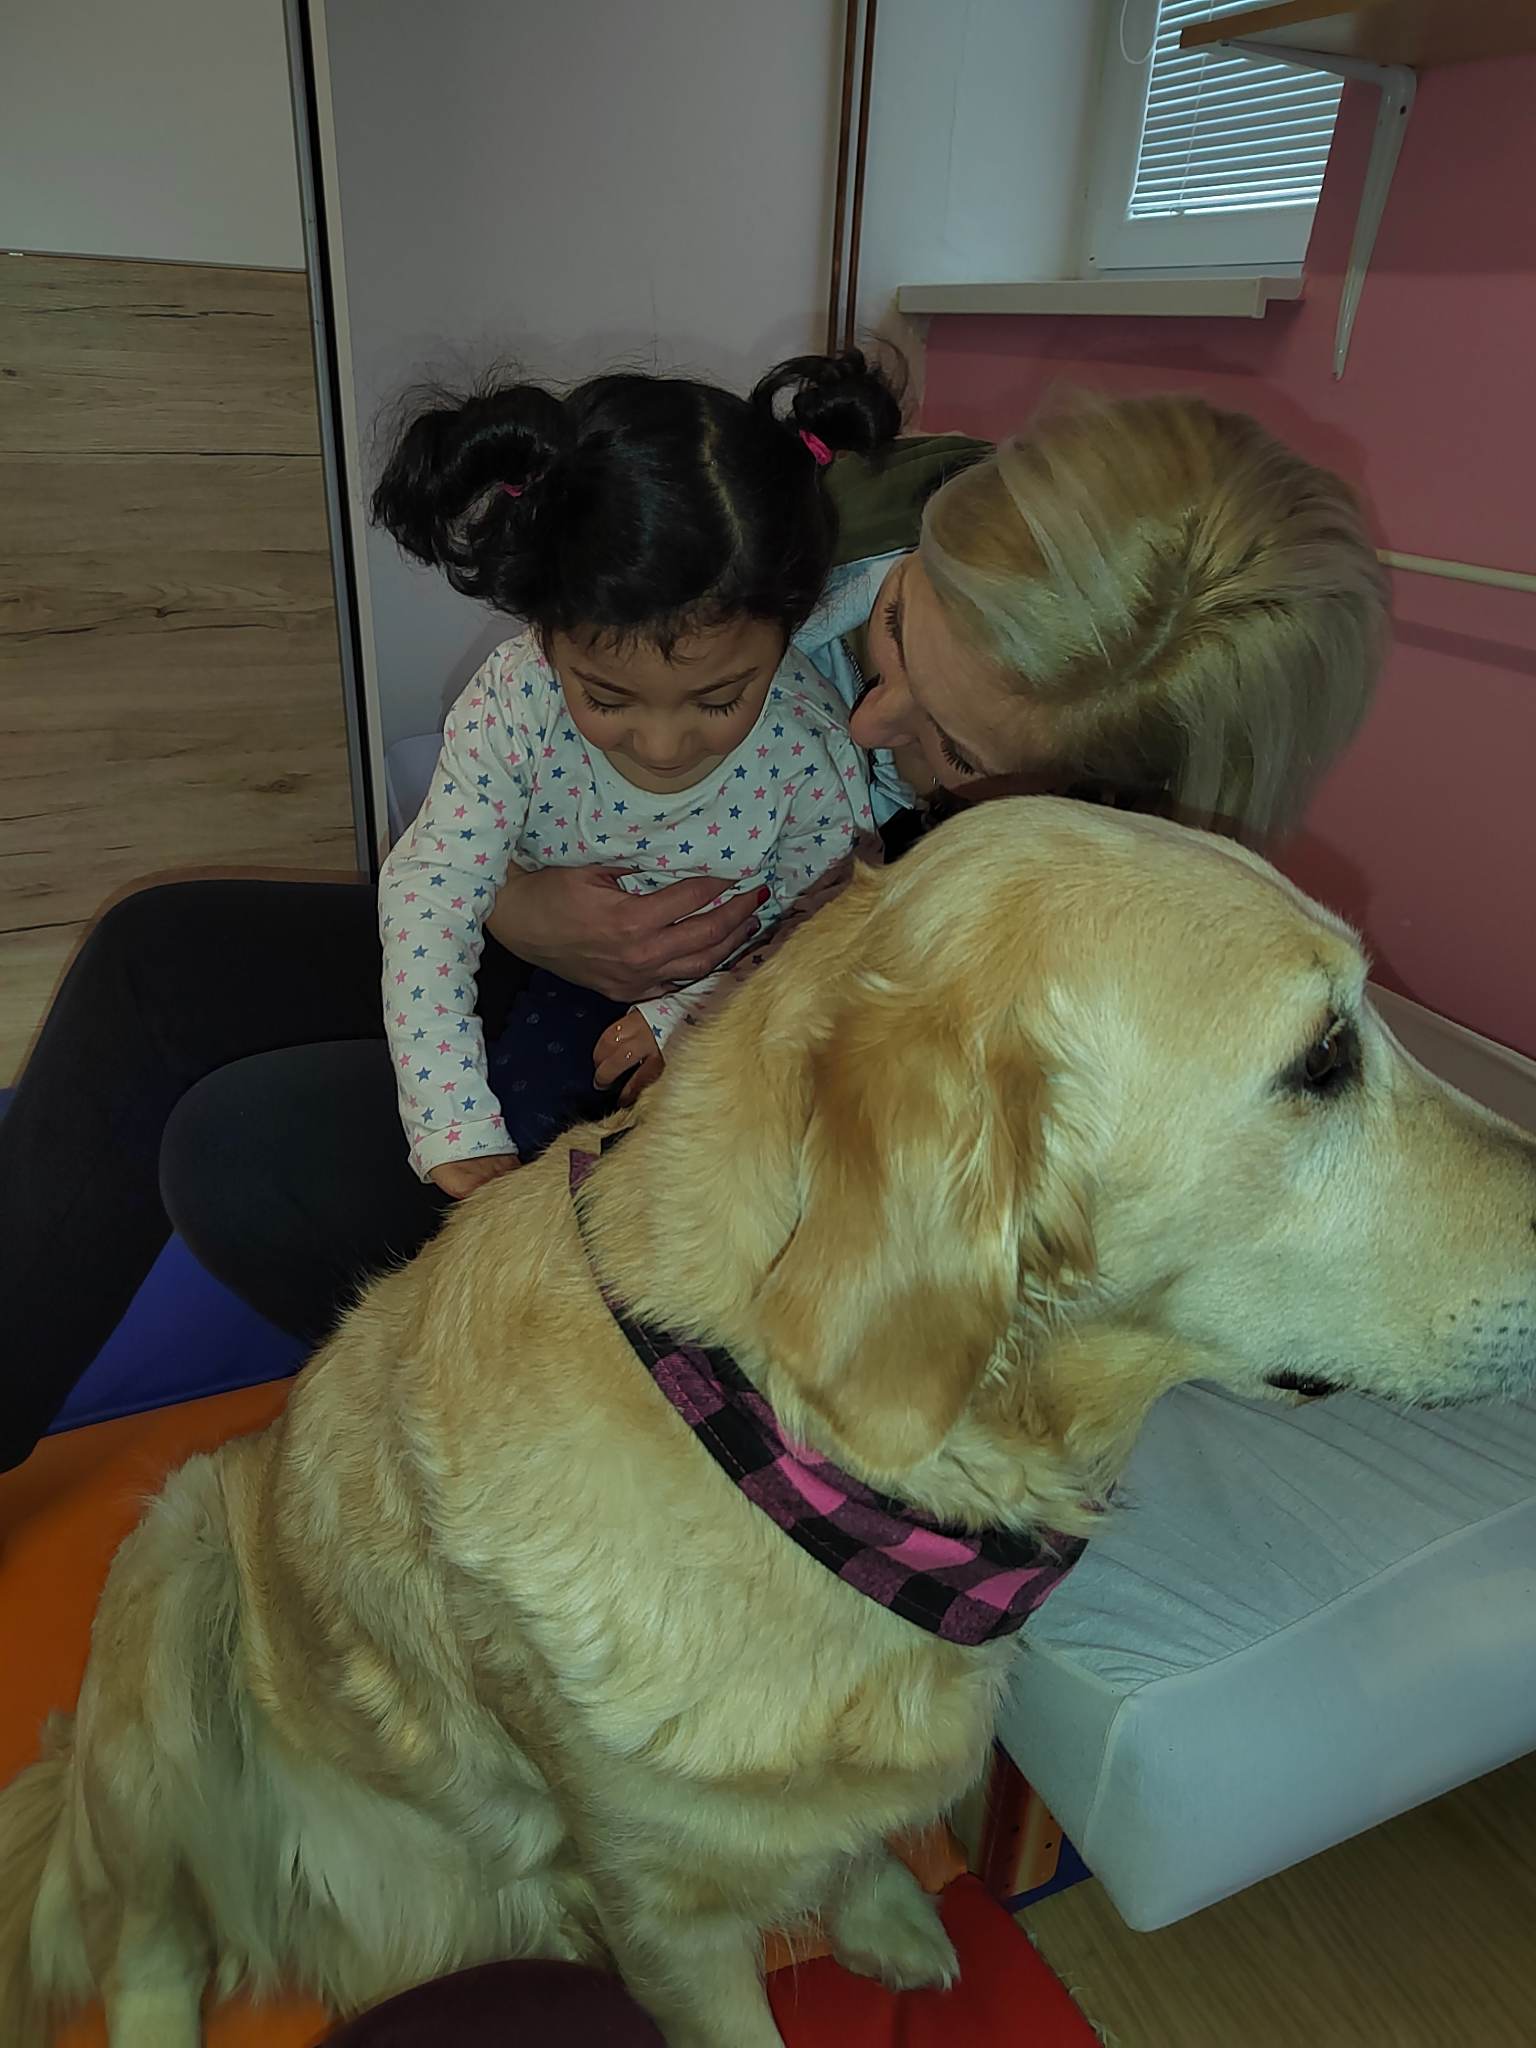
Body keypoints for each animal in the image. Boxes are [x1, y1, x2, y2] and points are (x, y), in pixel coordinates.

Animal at [3, 799, 1533, 2048]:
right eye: (1323, 1057)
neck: (791, 1467)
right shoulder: (664, 1921)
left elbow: (848, 1840)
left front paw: (882, 1909)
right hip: (174, 1589)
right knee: (145, 1945)